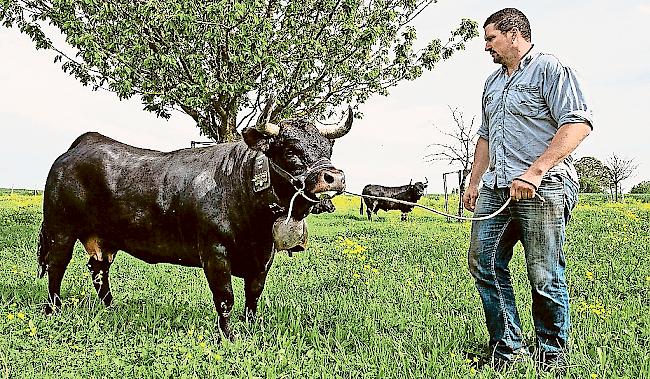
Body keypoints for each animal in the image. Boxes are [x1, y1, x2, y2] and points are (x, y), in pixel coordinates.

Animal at [38, 102, 352, 340]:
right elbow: (225, 298)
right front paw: (228, 337)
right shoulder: (214, 252)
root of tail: (82, 145)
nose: (334, 177)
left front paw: (250, 329)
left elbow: (253, 296)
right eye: (291, 150)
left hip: (103, 239)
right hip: (60, 229)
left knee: (98, 270)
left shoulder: (263, 257)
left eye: (328, 149)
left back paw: (110, 307)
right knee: (56, 266)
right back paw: (54, 309)